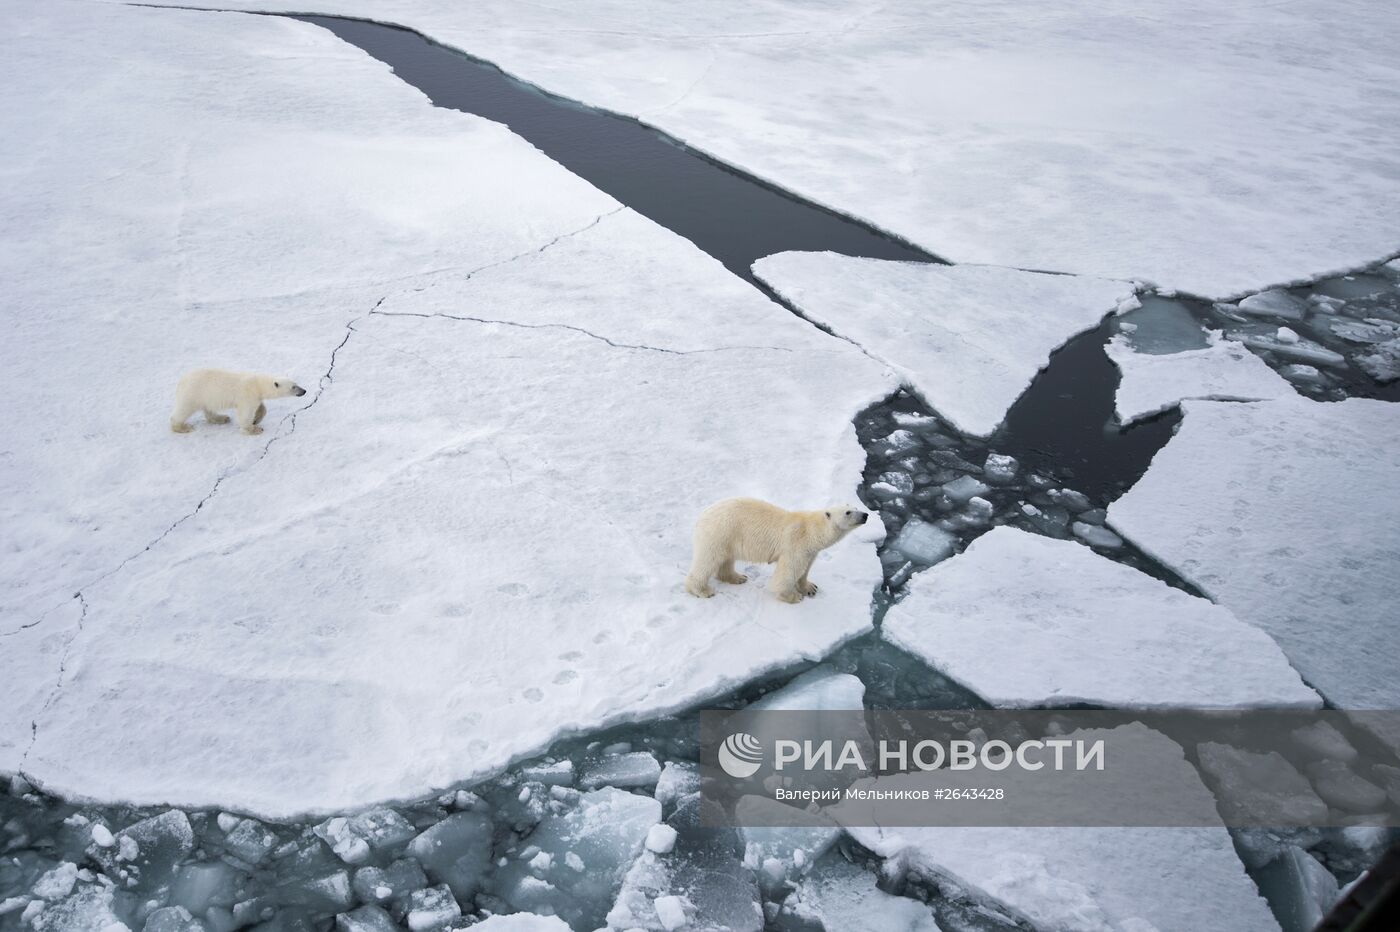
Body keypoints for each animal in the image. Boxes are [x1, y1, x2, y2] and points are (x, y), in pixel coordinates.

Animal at [171, 363, 306, 433]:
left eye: (296, 383)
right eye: (294, 387)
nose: (304, 391)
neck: (257, 384)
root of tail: (181, 382)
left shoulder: (255, 396)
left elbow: (261, 408)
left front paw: (256, 420)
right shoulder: (247, 395)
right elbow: (245, 413)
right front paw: (254, 429)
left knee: (209, 410)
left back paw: (222, 418)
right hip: (193, 393)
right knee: (184, 410)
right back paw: (182, 427)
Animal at [686, 492, 868, 601]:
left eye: (856, 507)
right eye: (848, 512)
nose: (865, 515)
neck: (811, 530)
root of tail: (702, 516)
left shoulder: (810, 551)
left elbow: (805, 570)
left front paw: (810, 587)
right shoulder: (796, 544)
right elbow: (789, 571)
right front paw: (794, 596)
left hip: (727, 538)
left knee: (726, 560)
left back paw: (738, 577)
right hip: (719, 532)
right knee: (708, 560)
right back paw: (702, 590)